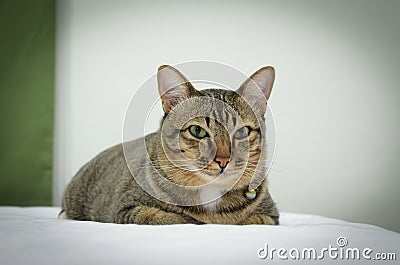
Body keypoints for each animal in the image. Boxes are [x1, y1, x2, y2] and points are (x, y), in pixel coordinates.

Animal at [60, 64, 278, 223]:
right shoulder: (127, 209)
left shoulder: (270, 216)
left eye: (242, 132)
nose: (224, 160)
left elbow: (250, 220)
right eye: (197, 131)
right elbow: (168, 218)